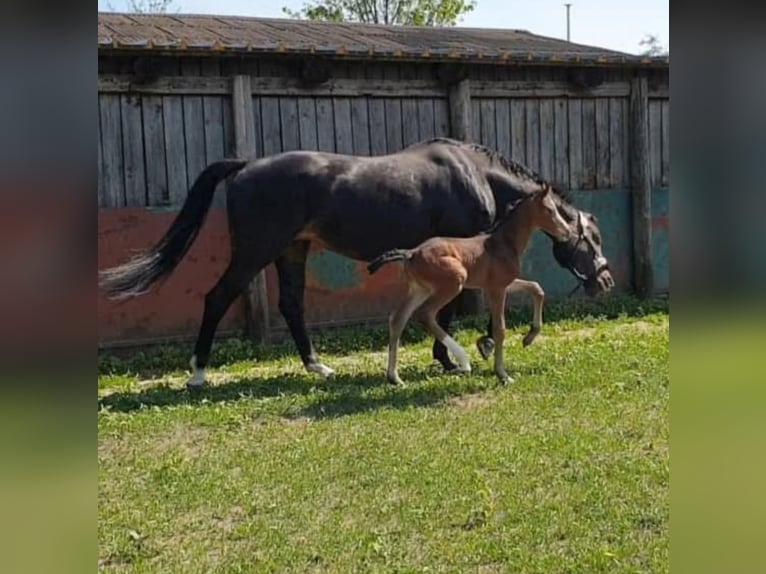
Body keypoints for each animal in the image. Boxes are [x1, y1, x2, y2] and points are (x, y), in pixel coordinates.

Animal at [368, 185, 571, 385]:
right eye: (550, 210)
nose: (567, 233)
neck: (503, 243)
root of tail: (412, 253)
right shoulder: (497, 288)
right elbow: (500, 329)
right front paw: (502, 375)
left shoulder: (502, 283)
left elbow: (537, 288)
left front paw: (529, 337)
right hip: (454, 283)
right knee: (425, 314)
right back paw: (463, 362)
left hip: (420, 289)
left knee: (398, 319)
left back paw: (394, 377)